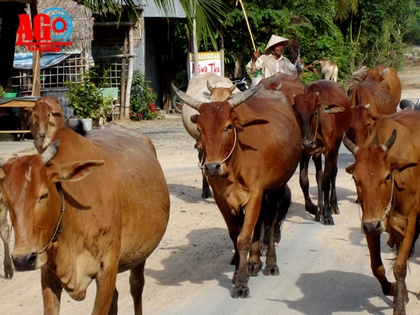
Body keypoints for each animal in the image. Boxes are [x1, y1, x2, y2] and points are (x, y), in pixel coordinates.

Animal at [1, 124, 171, 314]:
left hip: (141, 254)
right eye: (6, 200)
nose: (22, 260)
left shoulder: (108, 267)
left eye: (43, 195)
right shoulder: (47, 271)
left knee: (136, 286)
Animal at [171, 82, 302, 298]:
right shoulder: (222, 199)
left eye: (228, 126)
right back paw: (254, 262)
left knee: (271, 224)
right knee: (260, 222)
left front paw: (241, 284)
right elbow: (235, 234)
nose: (211, 167)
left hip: (276, 187)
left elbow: (244, 239)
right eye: (200, 128)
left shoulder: (255, 194)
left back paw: (270, 264)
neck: (235, 163)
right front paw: (237, 272)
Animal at [292, 80, 354, 226]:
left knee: (333, 172)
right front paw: (315, 209)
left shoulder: (329, 150)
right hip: (316, 154)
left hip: (337, 144)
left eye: (315, 112)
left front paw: (327, 214)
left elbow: (326, 180)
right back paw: (320, 209)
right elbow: (304, 180)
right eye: (297, 114)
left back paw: (333, 205)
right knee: (319, 175)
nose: (307, 142)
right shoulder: (305, 152)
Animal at [342, 107, 420, 314]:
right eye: (356, 179)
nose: (373, 225)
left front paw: (399, 307)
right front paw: (394, 290)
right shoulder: (369, 223)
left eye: (386, 176)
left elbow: (400, 266)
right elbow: (377, 267)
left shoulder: (411, 220)